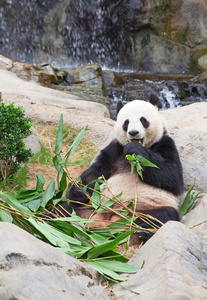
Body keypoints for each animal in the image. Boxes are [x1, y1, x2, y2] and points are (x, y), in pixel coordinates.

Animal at [60, 94, 184, 241]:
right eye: (126, 122)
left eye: (143, 120)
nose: (134, 132)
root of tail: (111, 218)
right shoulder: (115, 149)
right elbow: (96, 172)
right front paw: (79, 190)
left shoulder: (165, 144)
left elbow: (172, 176)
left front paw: (136, 150)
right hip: (90, 206)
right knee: (64, 209)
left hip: (148, 207)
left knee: (162, 216)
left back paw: (142, 231)